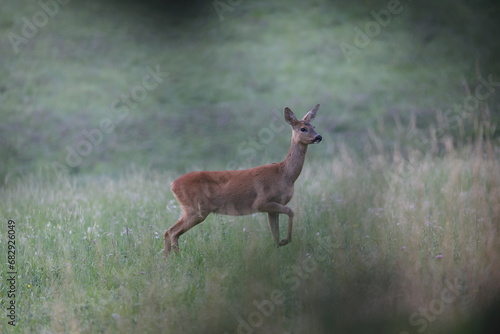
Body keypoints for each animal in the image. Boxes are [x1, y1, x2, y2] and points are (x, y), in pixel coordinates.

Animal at [162, 104, 322, 256]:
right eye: (302, 128)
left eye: (313, 126)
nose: (318, 137)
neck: (284, 174)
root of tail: (172, 184)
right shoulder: (261, 202)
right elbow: (290, 212)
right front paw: (285, 241)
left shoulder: (273, 206)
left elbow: (275, 234)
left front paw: (278, 253)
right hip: (196, 209)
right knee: (172, 232)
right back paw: (178, 257)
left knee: (167, 232)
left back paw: (166, 259)